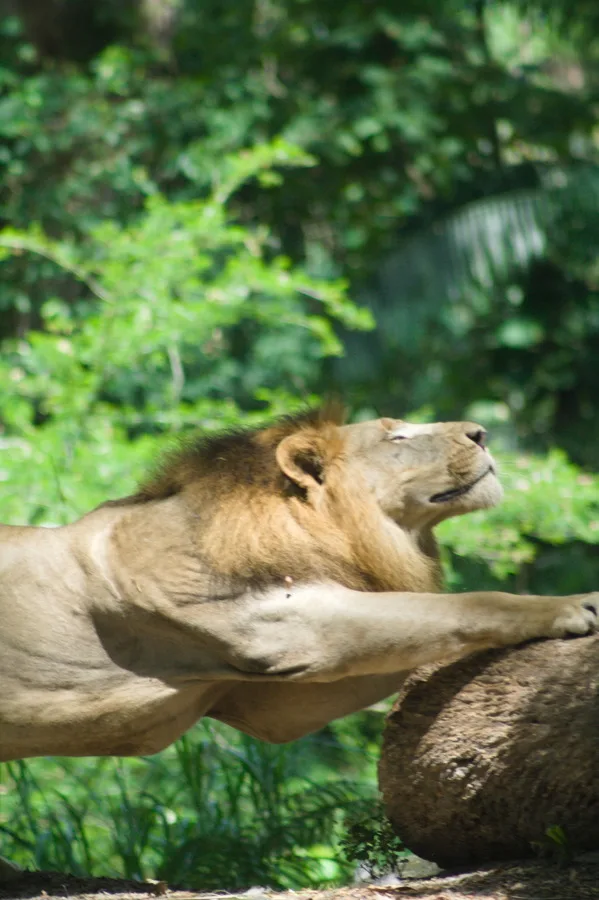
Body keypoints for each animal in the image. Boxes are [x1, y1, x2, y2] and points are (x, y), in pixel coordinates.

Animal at [0, 407, 597, 767]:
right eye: (398, 436)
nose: (481, 433)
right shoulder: (290, 627)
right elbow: (462, 607)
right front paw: (575, 603)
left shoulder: (273, 704)